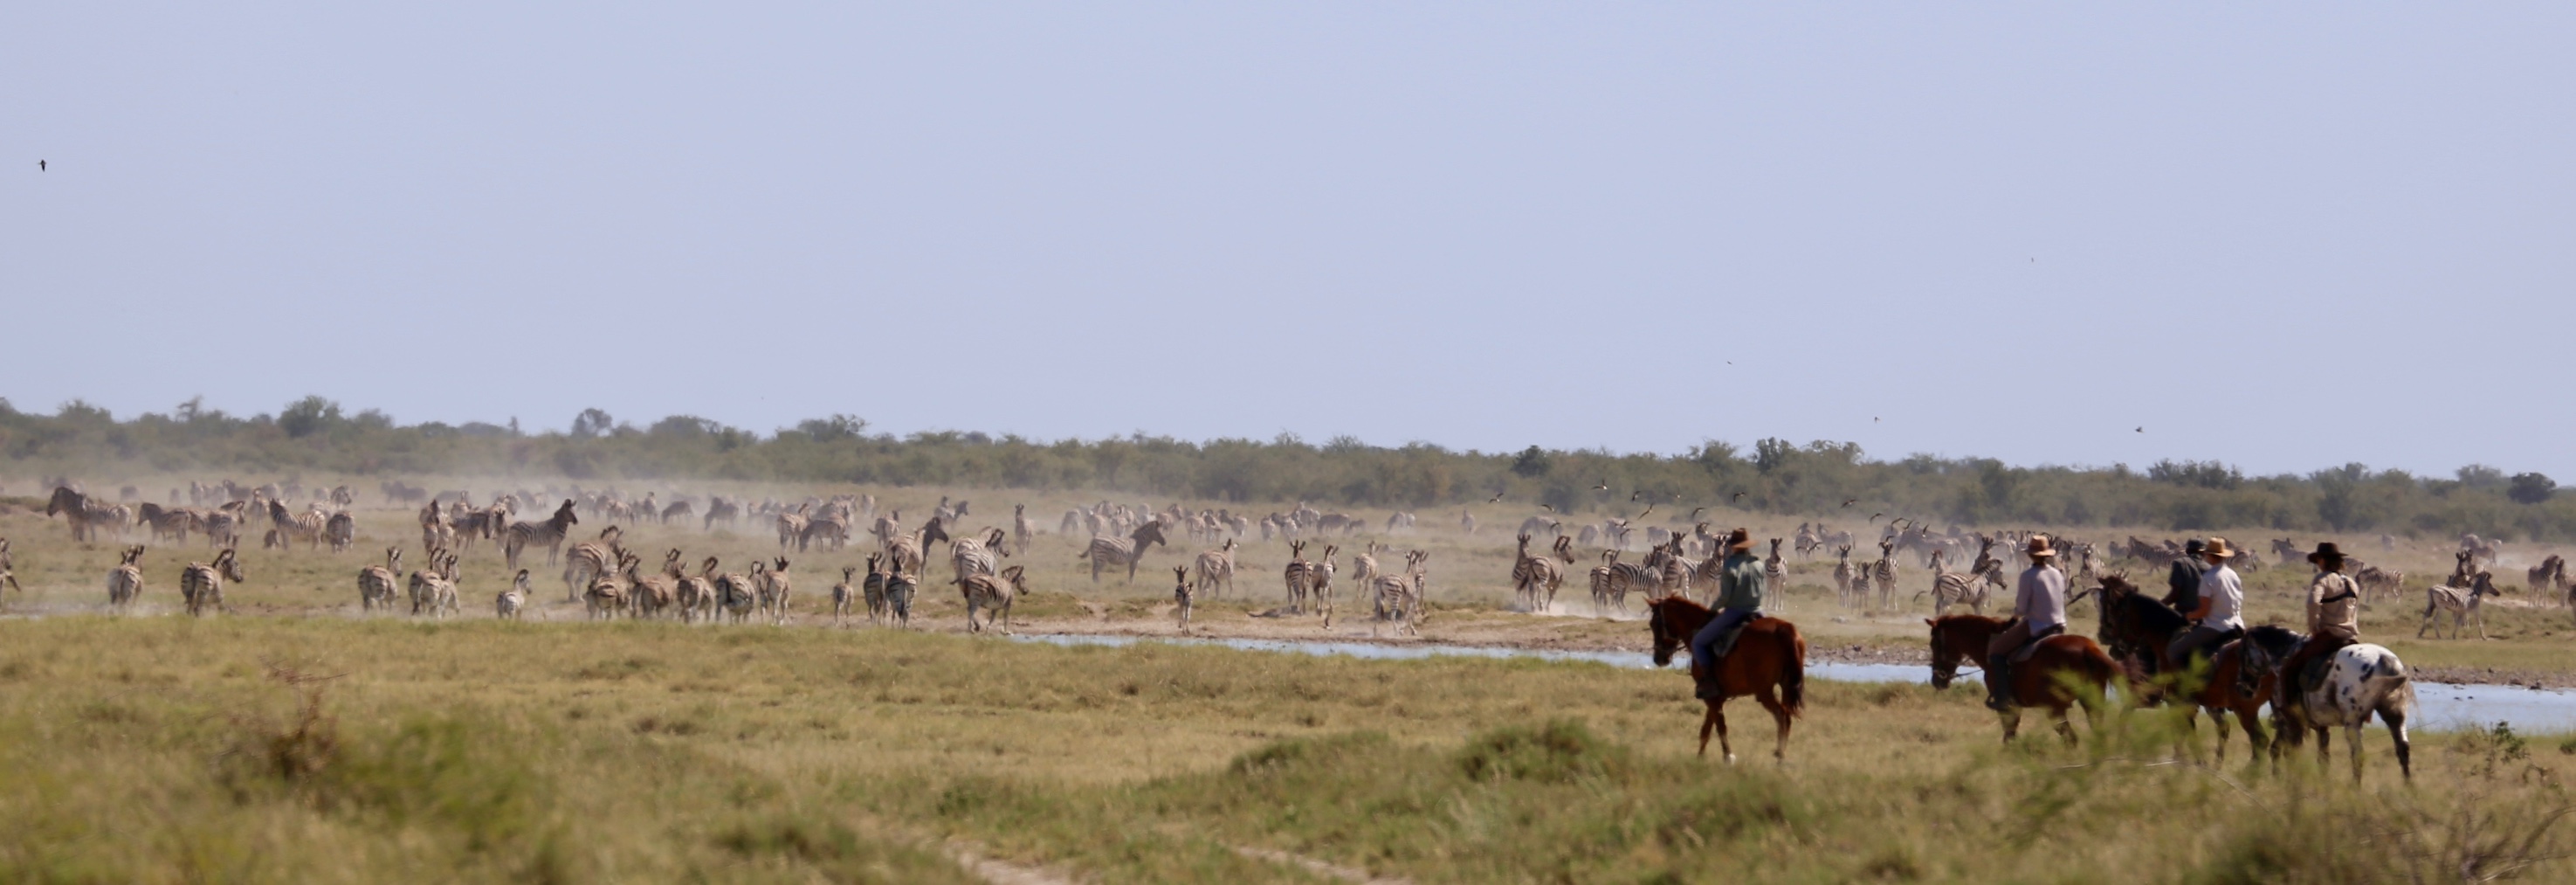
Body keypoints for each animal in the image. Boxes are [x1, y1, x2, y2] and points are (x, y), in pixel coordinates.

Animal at [1649, 598, 1813, 764]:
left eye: (1654, 623)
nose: (1658, 659)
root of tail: (1784, 629)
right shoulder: (1717, 697)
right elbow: (1708, 727)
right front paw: (1700, 757)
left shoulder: (1711, 697)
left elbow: (1720, 725)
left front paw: (1728, 756)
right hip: (1787, 687)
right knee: (1788, 717)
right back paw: (1782, 756)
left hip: (1764, 692)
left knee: (1782, 715)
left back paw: (1779, 756)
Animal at [1926, 616, 2122, 748]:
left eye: (1934, 644)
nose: (1937, 680)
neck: (1989, 644)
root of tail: (2088, 648)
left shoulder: (2008, 707)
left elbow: (2009, 735)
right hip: (2091, 703)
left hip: (2055, 708)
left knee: (2070, 739)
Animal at [2276, 645, 2411, 784]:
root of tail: (2383, 657)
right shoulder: (2320, 724)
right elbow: (2323, 755)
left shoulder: (2293, 721)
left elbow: (2293, 751)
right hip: (2395, 716)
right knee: (2403, 748)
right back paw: (2408, 785)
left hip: (2352, 722)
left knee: (2358, 754)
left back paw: (2355, 786)